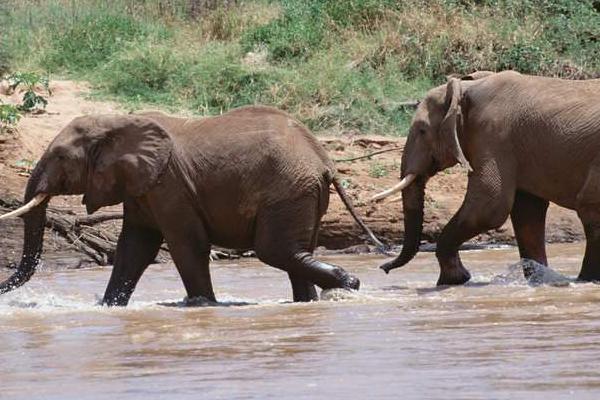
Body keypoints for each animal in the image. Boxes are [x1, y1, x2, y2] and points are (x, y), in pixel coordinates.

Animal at [0, 104, 384, 304]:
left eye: (61, 156)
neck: (119, 120)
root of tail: (324, 159)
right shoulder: (142, 186)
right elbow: (135, 246)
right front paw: (109, 307)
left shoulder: (170, 185)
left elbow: (186, 244)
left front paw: (202, 306)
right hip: (303, 194)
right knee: (296, 251)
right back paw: (320, 297)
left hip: (288, 190)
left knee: (275, 250)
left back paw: (348, 283)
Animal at [372, 70, 600, 286]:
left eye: (422, 130)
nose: (384, 268)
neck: (467, 87)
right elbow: (527, 211)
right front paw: (541, 280)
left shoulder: (493, 134)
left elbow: (489, 206)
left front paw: (455, 280)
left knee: (589, 209)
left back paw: (585, 280)